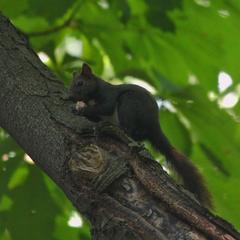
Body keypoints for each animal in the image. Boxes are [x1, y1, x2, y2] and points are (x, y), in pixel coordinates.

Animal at [67, 63, 212, 208]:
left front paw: (82, 110)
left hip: (129, 103)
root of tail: (154, 126)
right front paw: (78, 108)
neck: (92, 96)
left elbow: (105, 107)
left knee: (129, 130)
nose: (70, 97)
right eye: (71, 84)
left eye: (80, 83)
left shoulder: (108, 96)